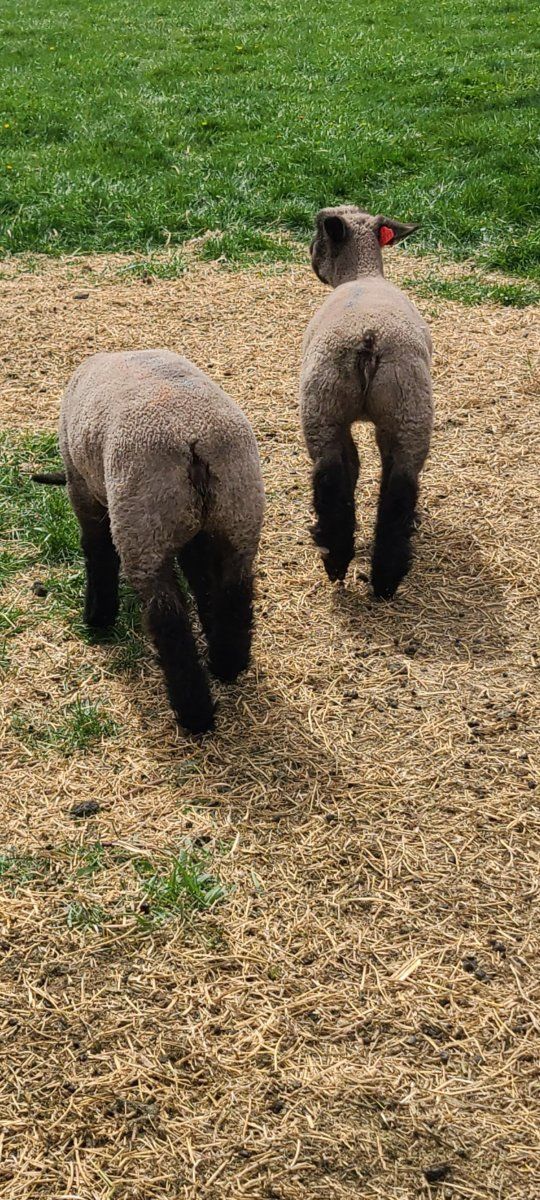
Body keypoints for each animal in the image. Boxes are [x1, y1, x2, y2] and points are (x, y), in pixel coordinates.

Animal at [33, 350, 265, 734]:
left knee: (168, 624)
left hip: (143, 529)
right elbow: (201, 579)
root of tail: (192, 441)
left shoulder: (81, 487)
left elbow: (96, 550)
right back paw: (226, 665)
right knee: (234, 595)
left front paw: (97, 616)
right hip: (238, 516)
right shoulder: (196, 534)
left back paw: (195, 716)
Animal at [300, 205, 433, 599]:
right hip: (407, 412)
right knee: (399, 489)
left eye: (317, 234)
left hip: (323, 409)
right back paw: (382, 577)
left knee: (332, 480)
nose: (309, 253)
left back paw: (340, 562)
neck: (362, 274)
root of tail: (369, 336)